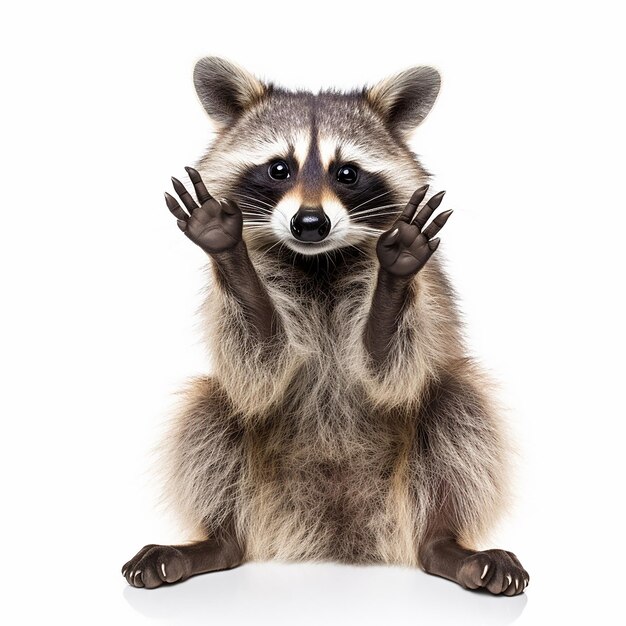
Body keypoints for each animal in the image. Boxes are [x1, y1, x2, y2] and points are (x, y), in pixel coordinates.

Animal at [122, 56, 528, 592]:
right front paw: (228, 253)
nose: (310, 223)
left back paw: (442, 541)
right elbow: (256, 365)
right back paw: (220, 538)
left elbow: (395, 369)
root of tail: (338, 528)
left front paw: (394, 282)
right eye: (279, 168)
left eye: (347, 173)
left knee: (456, 408)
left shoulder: (425, 300)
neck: (318, 260)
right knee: (211, 413)